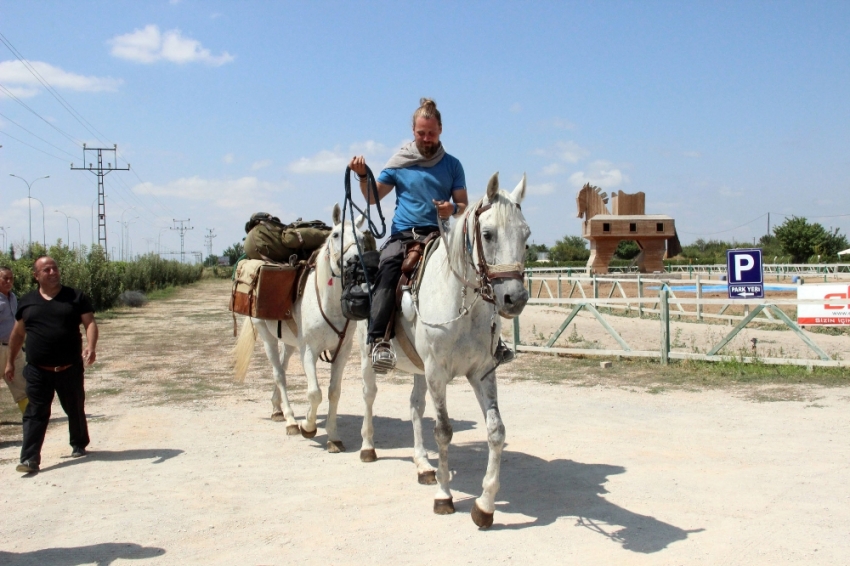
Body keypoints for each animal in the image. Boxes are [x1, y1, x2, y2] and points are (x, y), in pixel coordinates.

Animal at [232, 204, 364, 452]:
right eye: (336, 235)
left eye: (362, 237)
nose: (355, 263)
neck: (327, 301)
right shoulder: (309, 351)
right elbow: (315, 393)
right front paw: (308, 427)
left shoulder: (342, 351)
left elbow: (334, 392)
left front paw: (333, 437)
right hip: (267, 337)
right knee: (279, 374)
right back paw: (292, 421)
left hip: (291, 343)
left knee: (282, 368)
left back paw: (277, 409)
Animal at [354, 172, 528, 528]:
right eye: (488, 234)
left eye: (526, 234)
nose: (514, 298)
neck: (461, 301)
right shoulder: (437, 372)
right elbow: (444, 431)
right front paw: (444, 497)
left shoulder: (481, 373)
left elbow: (496, 430)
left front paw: (485, 506)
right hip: (370, 359)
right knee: (369, 396)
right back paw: (367, 448)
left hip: (420, 370)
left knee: (415, 407)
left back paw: (423, 465)